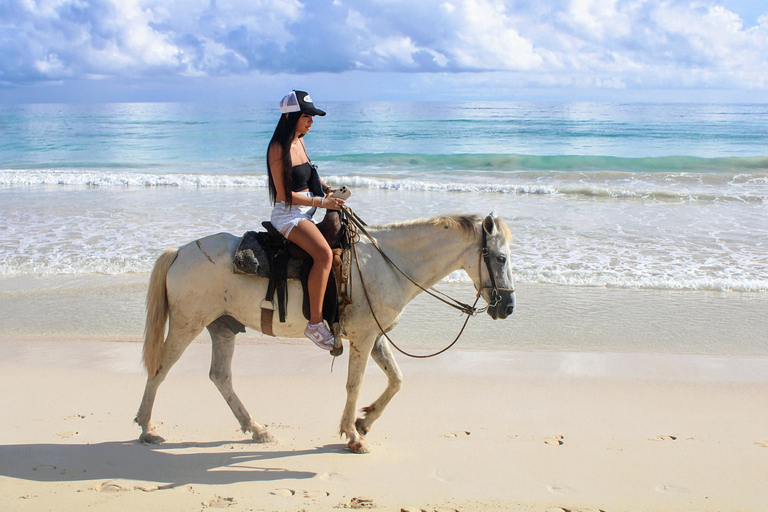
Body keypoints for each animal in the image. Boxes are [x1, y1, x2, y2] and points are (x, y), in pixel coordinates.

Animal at [136, 212, 516, 452]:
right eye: (500, 258)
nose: (508, 307)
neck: (389, 264)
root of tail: (180, 251)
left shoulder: (375, 337)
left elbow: (397, 380)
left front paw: (365, 422)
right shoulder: (363, 337)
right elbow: (354, 384)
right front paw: (353, 436)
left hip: (222, 326)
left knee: (220, 377)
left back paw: (256, 429)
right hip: (187, 323)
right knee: (160, 369)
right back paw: (147, 429)